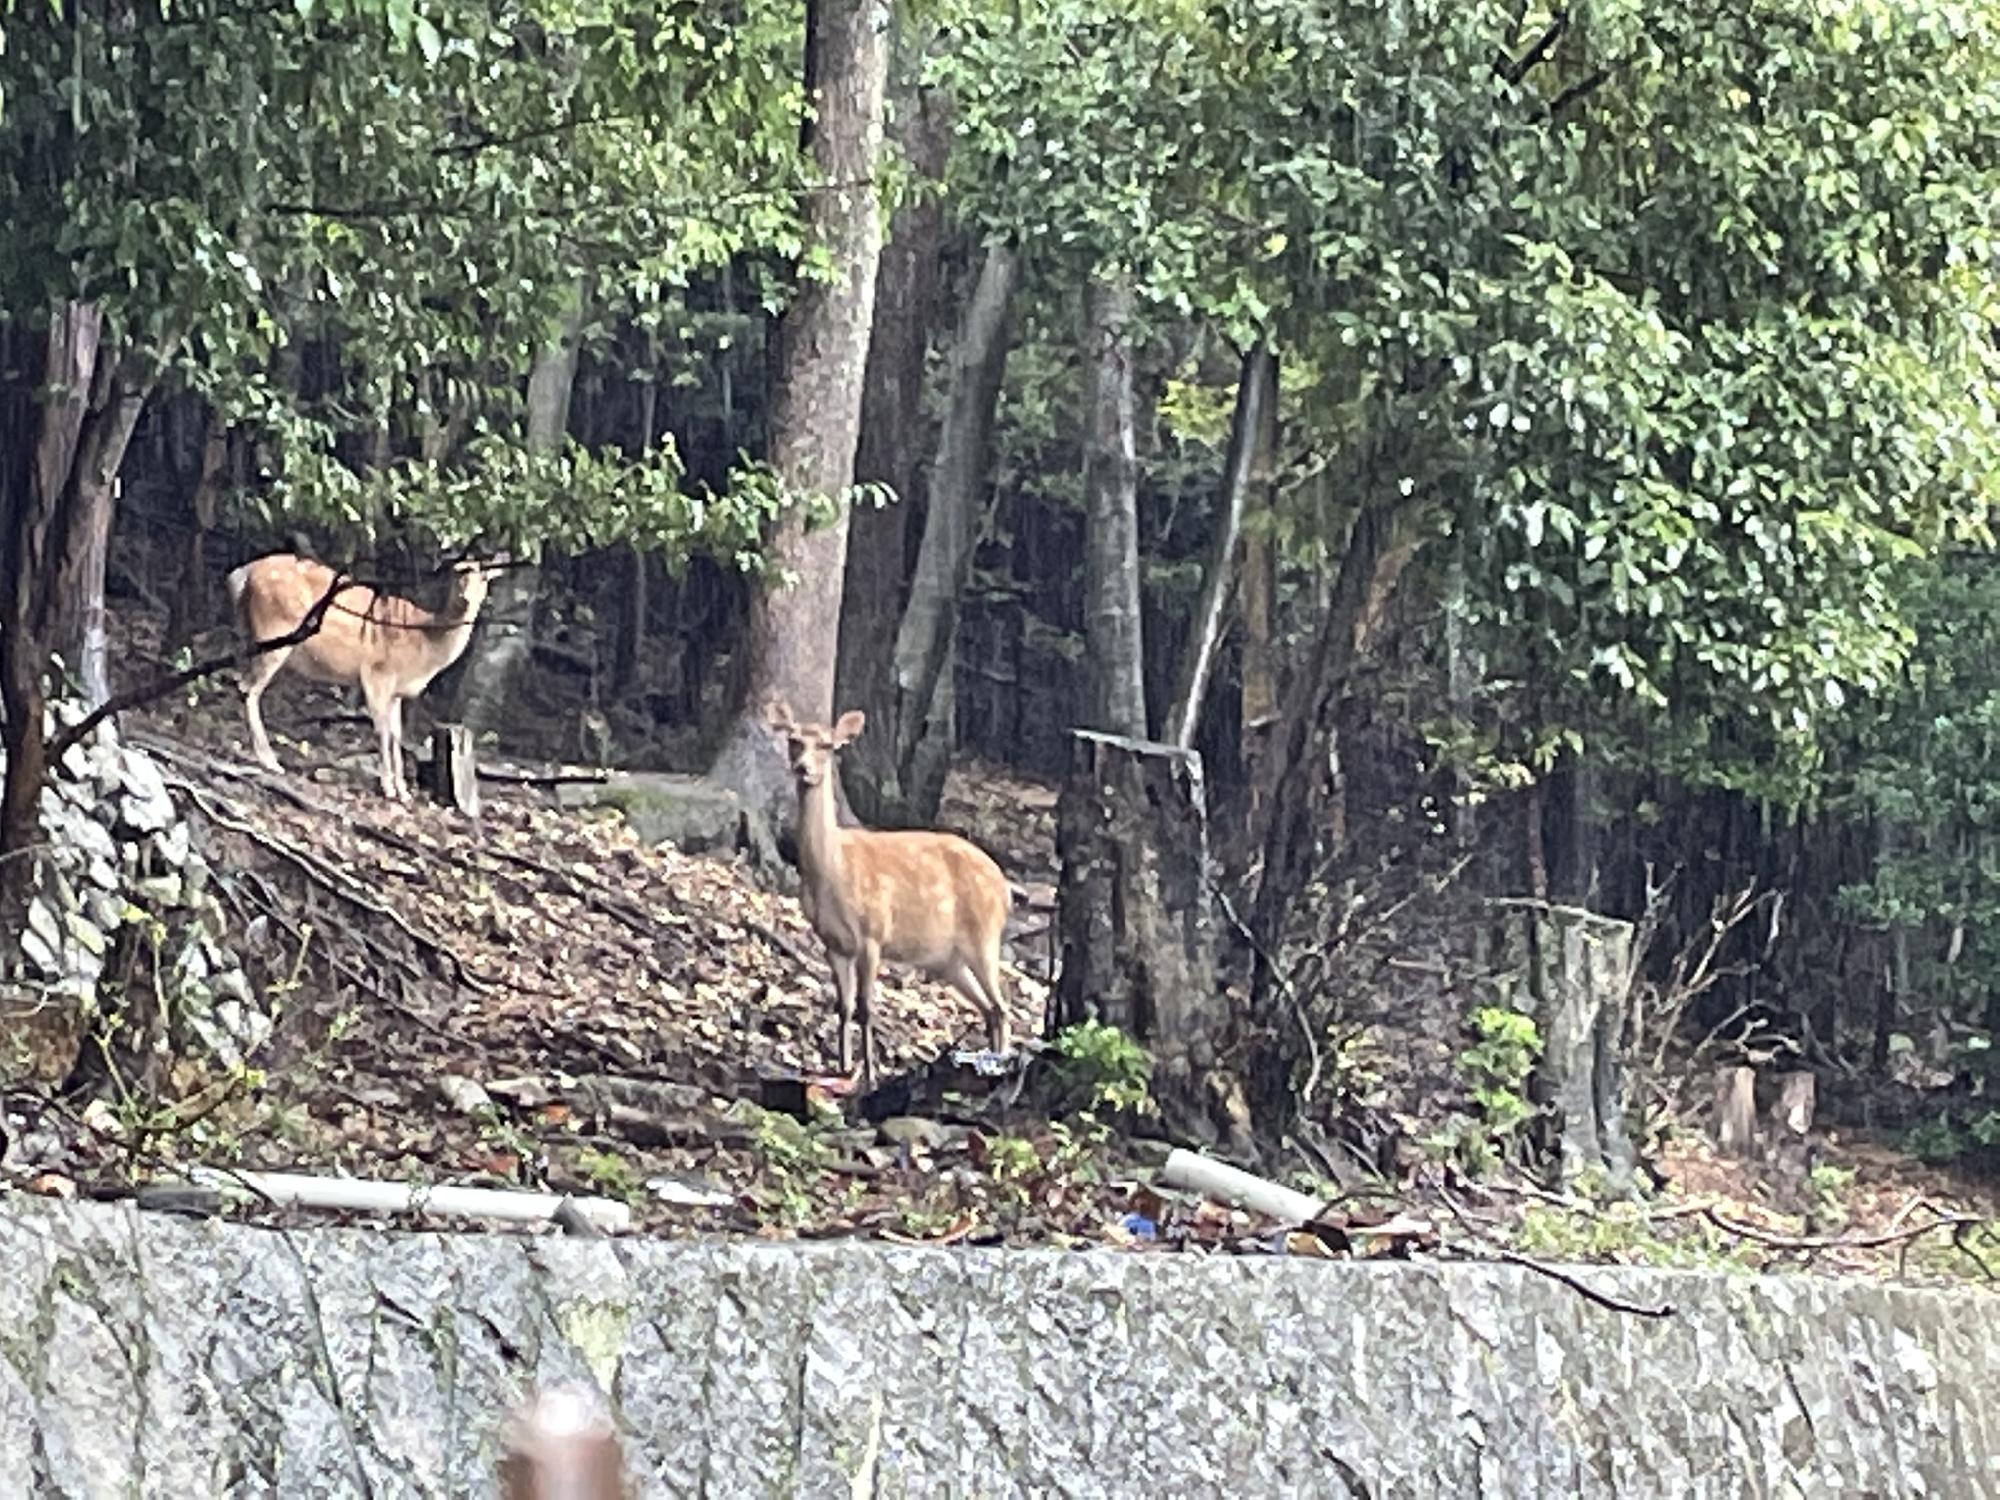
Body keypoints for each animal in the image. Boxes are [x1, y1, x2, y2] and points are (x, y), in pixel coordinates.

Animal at [227, 552, 500, 804]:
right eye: (458, 573)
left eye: (484, 577)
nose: (466, 598)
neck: (424, 646)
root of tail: (242, 574)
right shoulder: (377, 674)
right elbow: (382, 730)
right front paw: (389, 789)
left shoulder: (396, 691)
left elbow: (397, 735)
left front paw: (404, 792)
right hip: (275, 629)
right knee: (249, 689)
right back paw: (270, 760)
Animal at [764, 704, 1016, 1096]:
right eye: (794, 740)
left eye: (827, 745)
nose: (803, 768)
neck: (834, 872)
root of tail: (1005, 888)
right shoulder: (832, 942)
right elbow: (843, 1006)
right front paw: (843, 1068)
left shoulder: (873, 934)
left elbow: (866, 1007)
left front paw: (869, 1076)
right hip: (948, 960)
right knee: (990, 1008)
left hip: (984, 934)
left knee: (1003, 1006)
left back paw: (998, 1068)